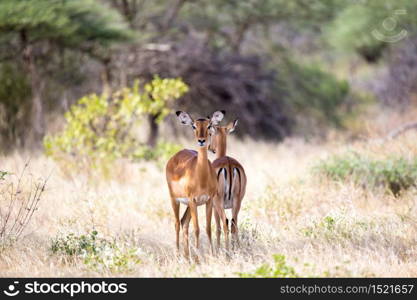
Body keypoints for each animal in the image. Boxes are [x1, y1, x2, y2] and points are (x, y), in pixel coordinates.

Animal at [166, 111, 229, 256]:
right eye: (194, 126)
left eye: (209, 125)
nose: (201, 140)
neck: (202, 178)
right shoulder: (193, 200)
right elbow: (197, 229)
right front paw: (198, 257)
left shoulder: (208, 200)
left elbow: (208, 228)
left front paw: (211, 255)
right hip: (175, 200)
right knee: (177, 223)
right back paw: (178, 255)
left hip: (189, 205)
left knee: (184, 222)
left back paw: (187, 256)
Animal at [181, 118, 245, 250]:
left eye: (210, 133)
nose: (211, 147)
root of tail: (229, 164)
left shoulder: (214, 205)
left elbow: (218, 228)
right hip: (237, 202)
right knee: (234, 224)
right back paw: (236, 249)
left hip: (219, 203)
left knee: (225, 223)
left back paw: (227, 251)